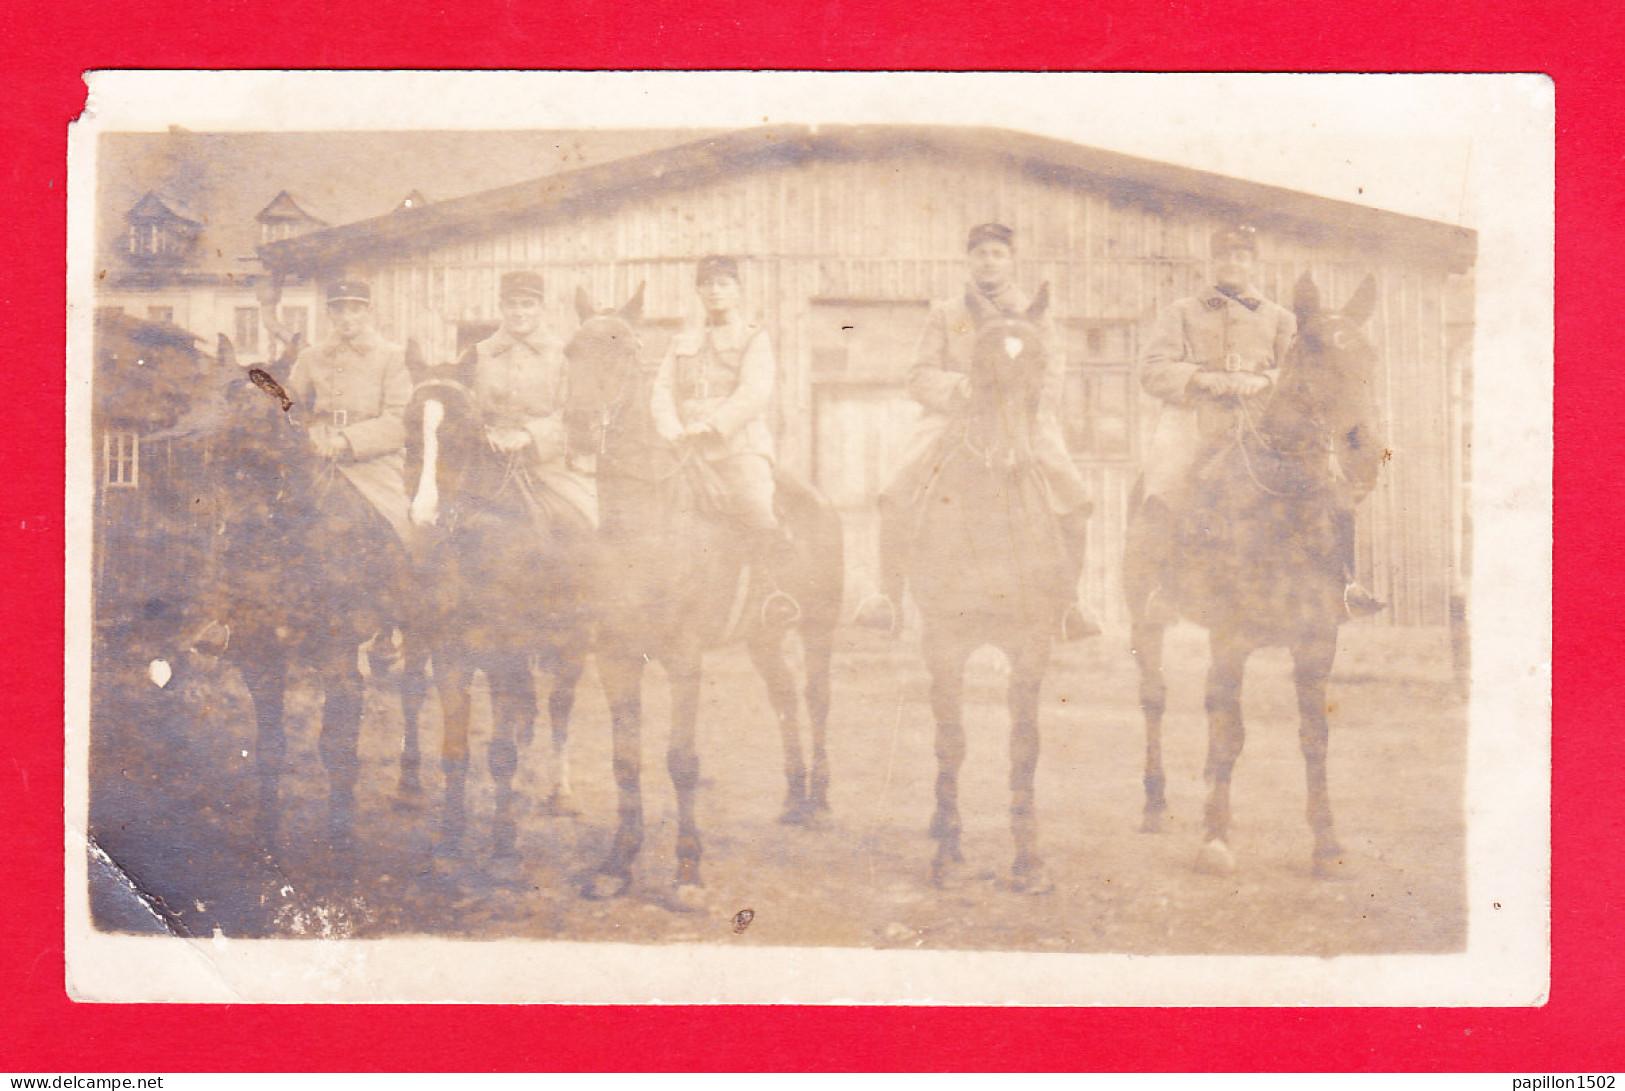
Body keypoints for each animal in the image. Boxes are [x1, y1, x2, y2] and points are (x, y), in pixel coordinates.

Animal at [401, 354, 598, 858]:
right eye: (409, 425)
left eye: (462, 429)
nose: (424, 517)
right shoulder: (450, 656)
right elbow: (456, 748)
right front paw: (453, 832)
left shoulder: (504, 656)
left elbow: (502, 750)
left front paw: (504, 839)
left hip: (570, 645)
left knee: (558, 708)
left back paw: (558, 791)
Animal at [562, 287, 845, 904]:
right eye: (570, 351)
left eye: (627, 350)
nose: (578, 427)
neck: (643, 527)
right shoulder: (615, 657)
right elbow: (625, 760)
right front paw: (617, 863)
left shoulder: (684, 658)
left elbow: (681, 759)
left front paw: (688, 871)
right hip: (763, 638)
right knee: (784, 699)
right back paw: (792, 800)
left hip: (819, 628)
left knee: (815, 700)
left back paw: (818, 803)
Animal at [916, 284, 1079, 897]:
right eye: (980, 366)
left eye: (1038, 363)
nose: (1012, 459)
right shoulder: (944, 643)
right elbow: (951, 742)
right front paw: (947, 855)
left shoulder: (1031, 645)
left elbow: (1024, 746)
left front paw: (1028, 862)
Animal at [1124, 273, 1391, 878]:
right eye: (1314, 353)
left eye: (1369, 356)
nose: (1364, 453)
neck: (1282, 512)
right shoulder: (1231, 637)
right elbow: (1229, 732)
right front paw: (1216, 840)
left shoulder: (1317, 641)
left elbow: (1313, 737)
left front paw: (1325, 843)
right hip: (1146, 620)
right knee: (1156, 698)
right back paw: (1154, 806)